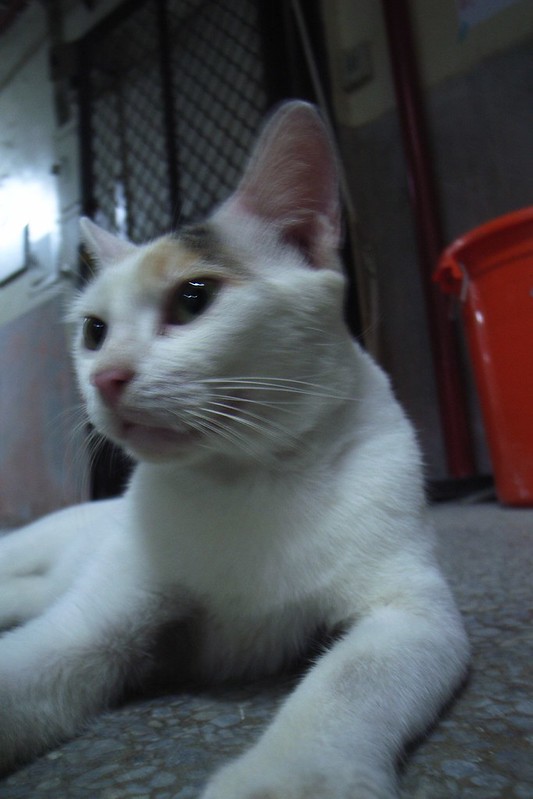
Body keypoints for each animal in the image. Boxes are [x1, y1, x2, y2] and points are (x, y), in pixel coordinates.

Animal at [0, 101, 468, 798]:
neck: (245, 478)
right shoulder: (100, 616)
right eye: (94, 331)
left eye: (193, 298)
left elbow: (347, 685)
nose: (105, 377)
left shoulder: (412, 611)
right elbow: (36, 663)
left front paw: (291, 776)